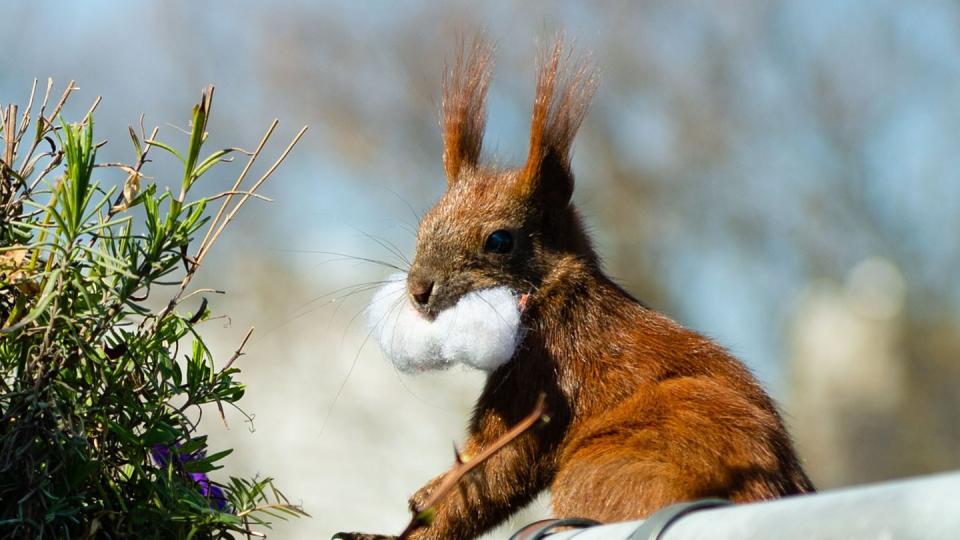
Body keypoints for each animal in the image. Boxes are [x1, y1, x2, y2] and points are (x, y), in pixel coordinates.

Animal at [334, 38, 812, 540]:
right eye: (424, 224)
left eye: (499, 241)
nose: (419, 289)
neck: (558, 297)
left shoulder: (543, 374)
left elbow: (495, 466)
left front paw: (413, 517)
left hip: (615, 465)